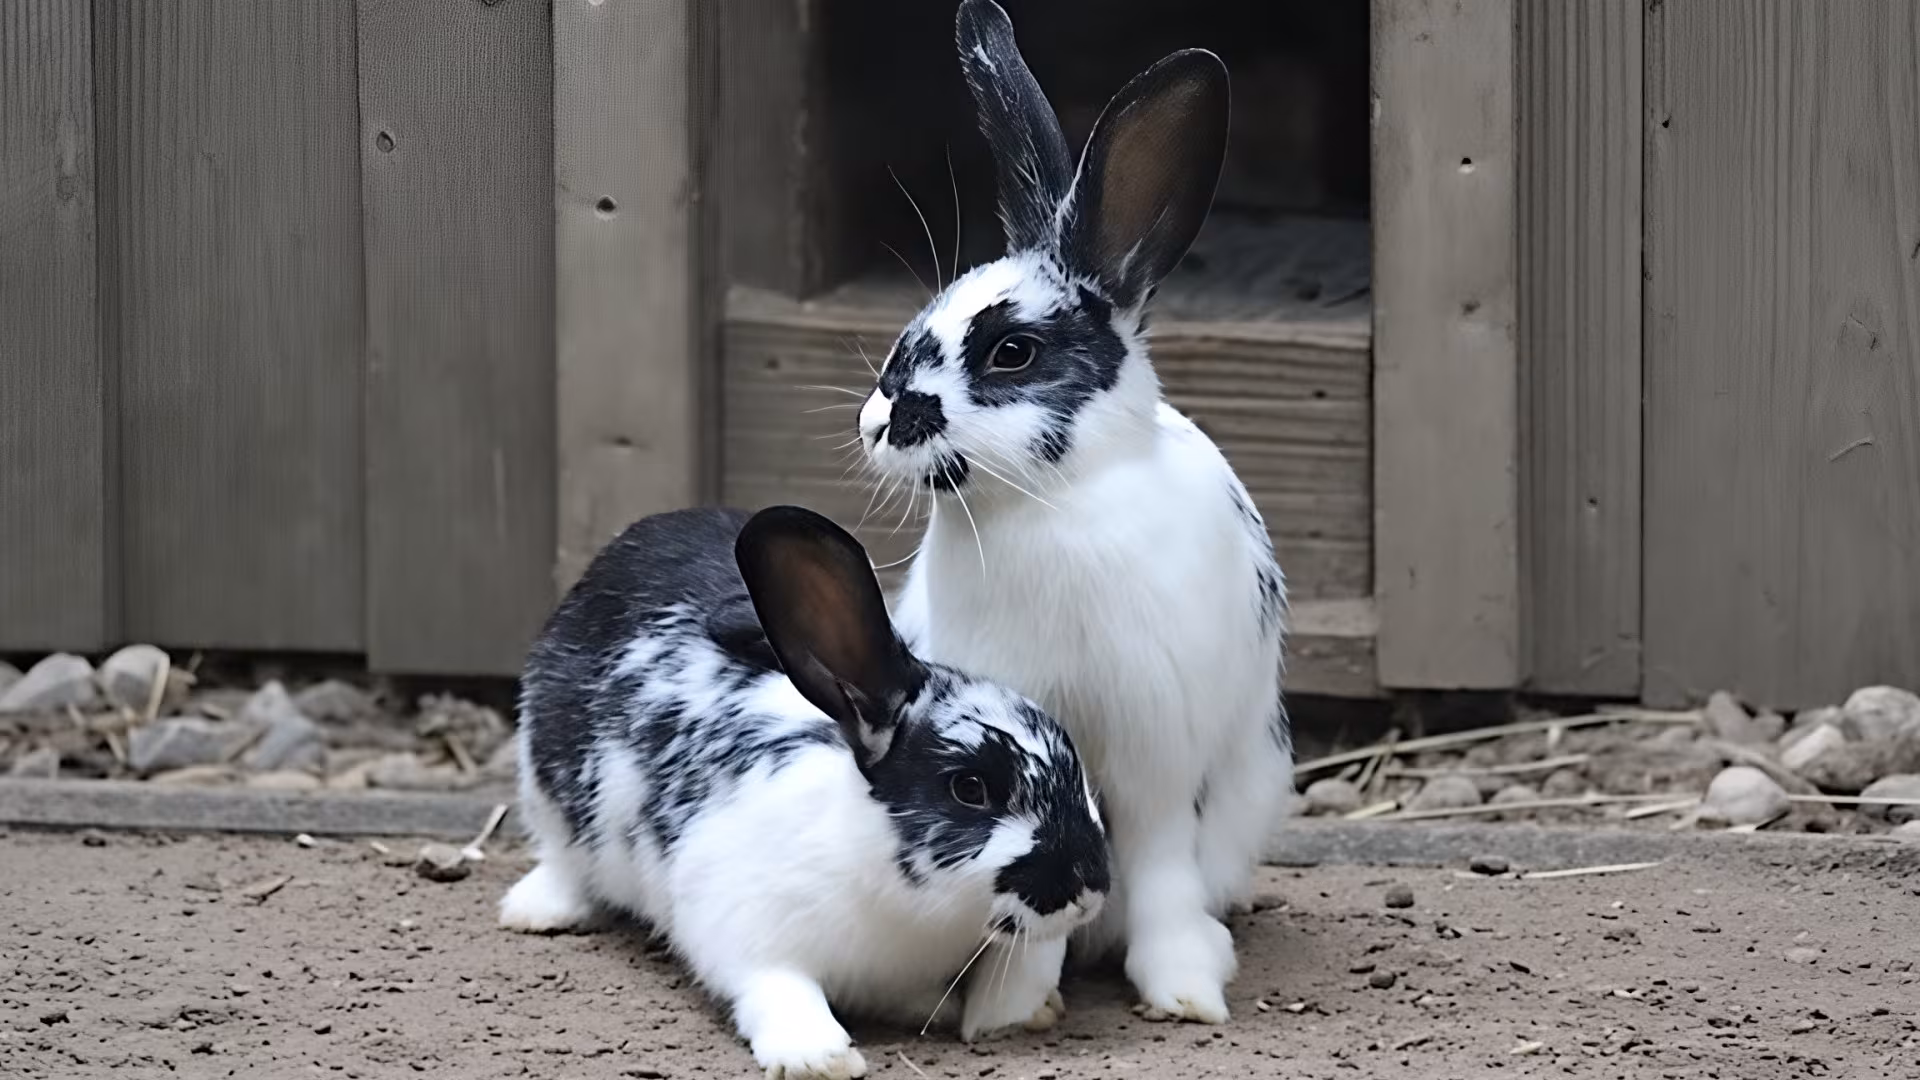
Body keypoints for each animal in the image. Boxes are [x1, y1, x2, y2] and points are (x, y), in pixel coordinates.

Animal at [499, 505, 1111, 1078]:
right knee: (562, 858)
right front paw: (818, 1058)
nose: (1090, 889)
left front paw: (1015, 1012)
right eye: (971, 788)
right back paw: (536, 911)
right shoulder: (742, 925)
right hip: (546, 790)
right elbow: (777, 988)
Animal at [853, 0, 1291, 1026]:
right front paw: (1016, 1005)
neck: (1049, 507)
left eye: (1011, 351)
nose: (883, 416)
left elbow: (1162, 869)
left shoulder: (1157, 753)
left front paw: (1184, 989)